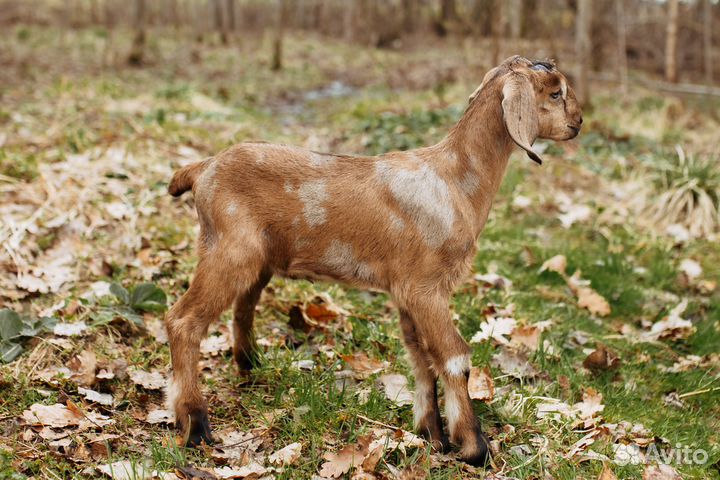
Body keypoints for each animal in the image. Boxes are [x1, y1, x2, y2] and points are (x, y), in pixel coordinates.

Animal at [165, 55, 582, 466]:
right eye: (556, 92)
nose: (578, 123)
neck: (455, 182)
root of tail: (203, 168)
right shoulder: (427, 287)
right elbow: (453, 357)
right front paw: (474, 447)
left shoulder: (406, 290)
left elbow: (420, 357)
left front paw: (430, 434)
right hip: (227, 251)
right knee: (183, 321)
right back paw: (196, 424)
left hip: (257, 259)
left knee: (242, 308)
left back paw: (250, 368)